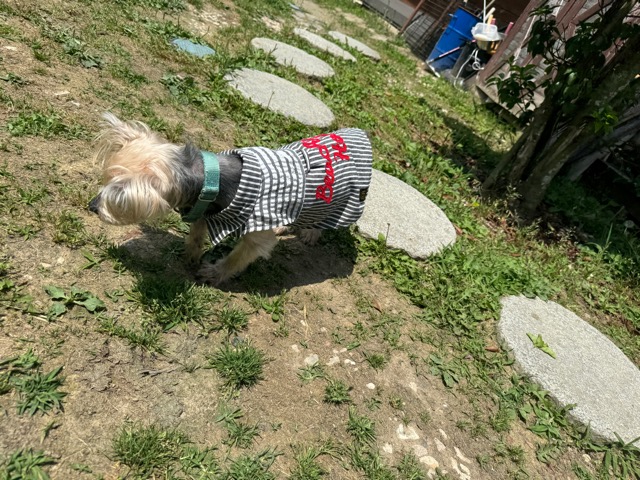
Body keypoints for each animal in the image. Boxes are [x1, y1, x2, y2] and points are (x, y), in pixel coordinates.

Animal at [89, 113, 373, 285]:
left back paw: (312, 233)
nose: (91, 206)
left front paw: (214, 273)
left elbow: (239, 257)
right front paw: (191, 255)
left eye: (116, 199)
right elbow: (196, 234)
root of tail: (359, 133)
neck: (211, 178)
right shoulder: (205, 209)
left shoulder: (256, 235)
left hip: (339, 199)